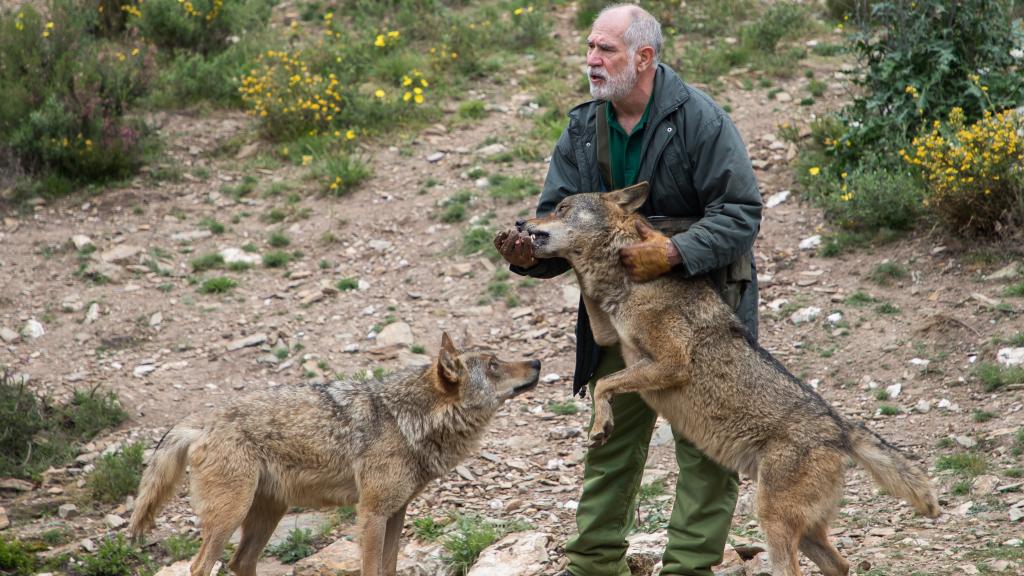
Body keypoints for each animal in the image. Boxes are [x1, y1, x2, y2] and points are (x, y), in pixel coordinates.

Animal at [128, 333, 540, 576]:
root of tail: (202, 422)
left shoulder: (396, 512)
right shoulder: (371, 513)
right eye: (493, 364)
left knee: (239, 562)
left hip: (266, 515)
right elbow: (372, 570)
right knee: (201, 567)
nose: (537, 362)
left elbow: (389, 568)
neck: (406, 420)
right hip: (231, 515)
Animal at [521, 182, 939, 576]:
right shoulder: (609, 335)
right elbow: (601, 356)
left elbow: (606, 384)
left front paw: (601, 427)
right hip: (801, 528)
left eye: (561, 208)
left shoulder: (671, 363)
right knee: (840, 565)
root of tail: (842, 428)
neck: (629, 282)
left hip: (773, 519)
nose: (520, 224)